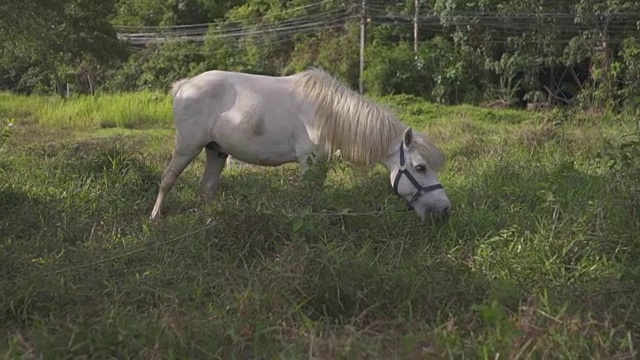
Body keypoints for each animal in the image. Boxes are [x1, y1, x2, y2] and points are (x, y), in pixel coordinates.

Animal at [150, 68, 450, 222]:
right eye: (420, 167)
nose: (445, 210)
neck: (330, 112)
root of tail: (185, 85)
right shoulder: (310, 163)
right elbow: (311, 198)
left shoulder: (322, 164)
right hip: (187, 146)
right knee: (167, 179)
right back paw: (155, 217)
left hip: (216, 151)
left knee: (208, 188)